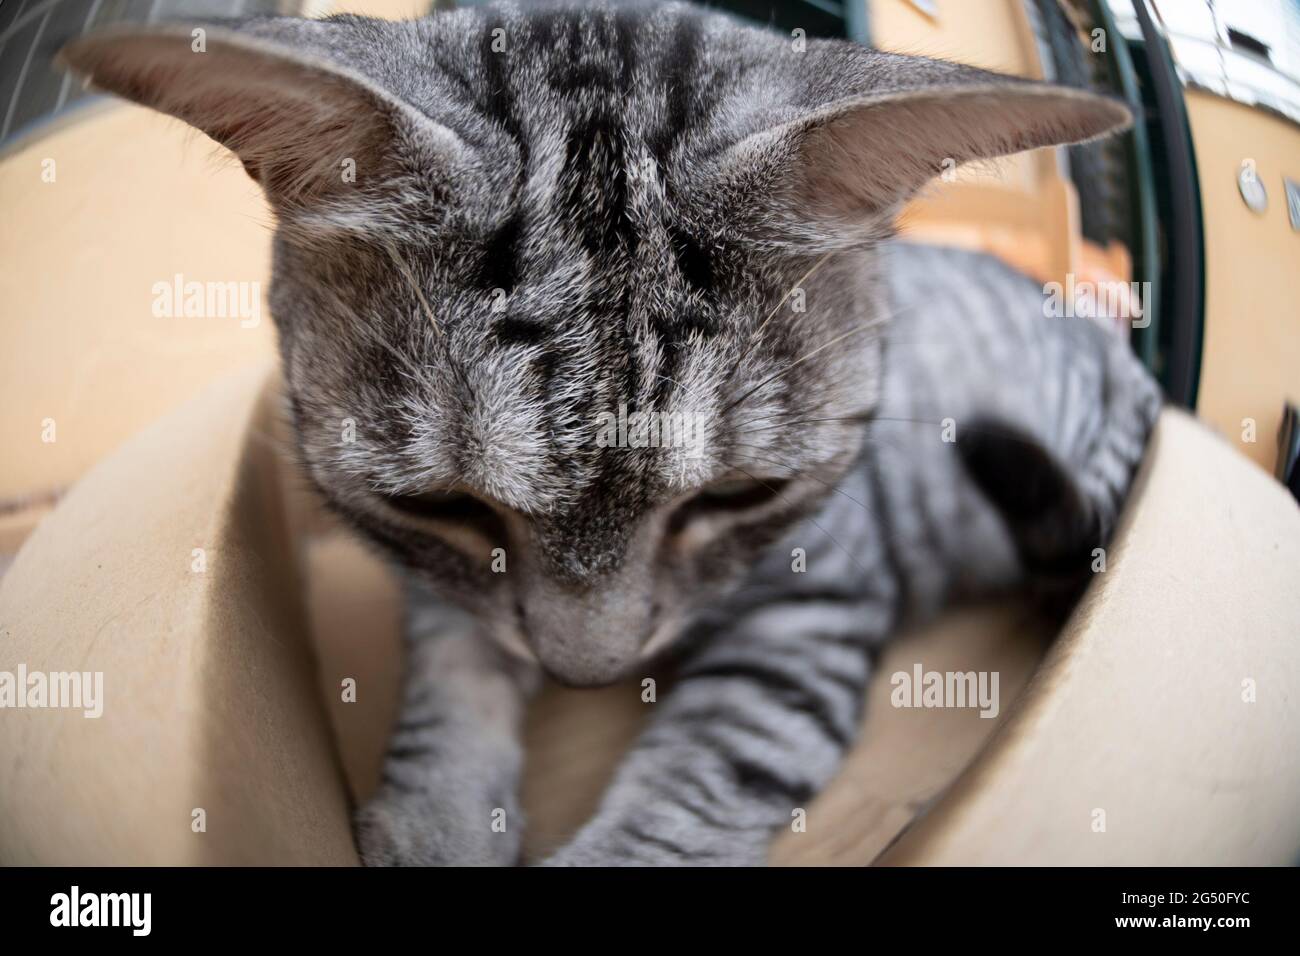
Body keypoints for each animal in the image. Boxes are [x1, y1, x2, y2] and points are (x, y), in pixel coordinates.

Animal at [58, 0, 1159, 868]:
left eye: (738, 496)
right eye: (443, 505)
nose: (586, 673)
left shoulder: (818, 596)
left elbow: (715, 762)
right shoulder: (437, 580)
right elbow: (452, 673)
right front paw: (434, 818)